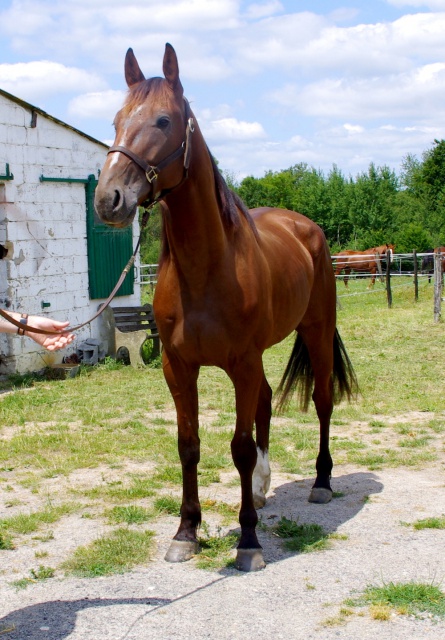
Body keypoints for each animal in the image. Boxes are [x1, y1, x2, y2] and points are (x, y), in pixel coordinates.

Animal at [94, 46, 358, 576]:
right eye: (115, 120)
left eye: (164, 120)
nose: (108, 199)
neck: (206, 269)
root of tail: (307, 228)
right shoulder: (179, 367)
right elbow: (189, 446)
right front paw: (186, 532)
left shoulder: (241, 363)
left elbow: (237, 447)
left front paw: (248, 541)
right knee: (266, 403)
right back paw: (259, 490)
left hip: (316, 332)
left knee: (321, 401)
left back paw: (321, 483)